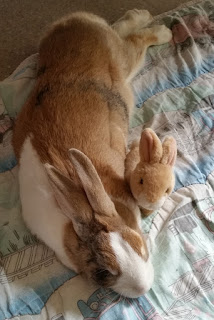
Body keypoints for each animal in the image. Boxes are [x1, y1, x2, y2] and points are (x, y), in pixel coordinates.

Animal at [12, 10, 172, 298]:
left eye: (137, 243)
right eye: (102, 274)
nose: (144, 288)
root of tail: (71, 21)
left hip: (124, 62)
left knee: (136, 39)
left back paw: (158, 26)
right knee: (121, 29)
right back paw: (141, 17)